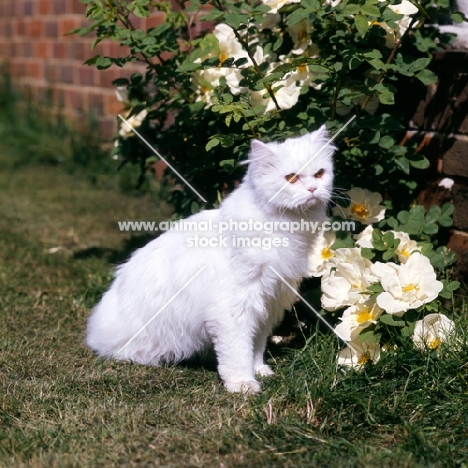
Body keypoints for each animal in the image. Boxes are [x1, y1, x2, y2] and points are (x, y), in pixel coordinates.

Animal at [87, 126, 336, 394]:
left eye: (319, 174)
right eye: (291, 178)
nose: (312, 190)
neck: (287, 227)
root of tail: (94, 329)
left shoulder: (267, 304)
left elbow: (256, 347)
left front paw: (260, 371)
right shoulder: (234, 308)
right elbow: (237, 353)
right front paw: (243, 385)